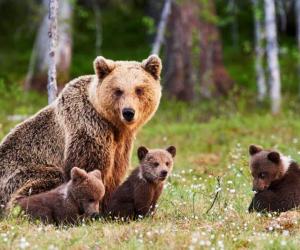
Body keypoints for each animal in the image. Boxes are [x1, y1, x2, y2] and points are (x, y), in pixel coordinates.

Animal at [0, 54, 162, 211]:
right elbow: (89, 168)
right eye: (118, 90)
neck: (113, 124)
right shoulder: (88, 127)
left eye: (139, 89)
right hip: (20, 175)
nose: (128, 112)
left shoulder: (121, 144)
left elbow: (115, 173)